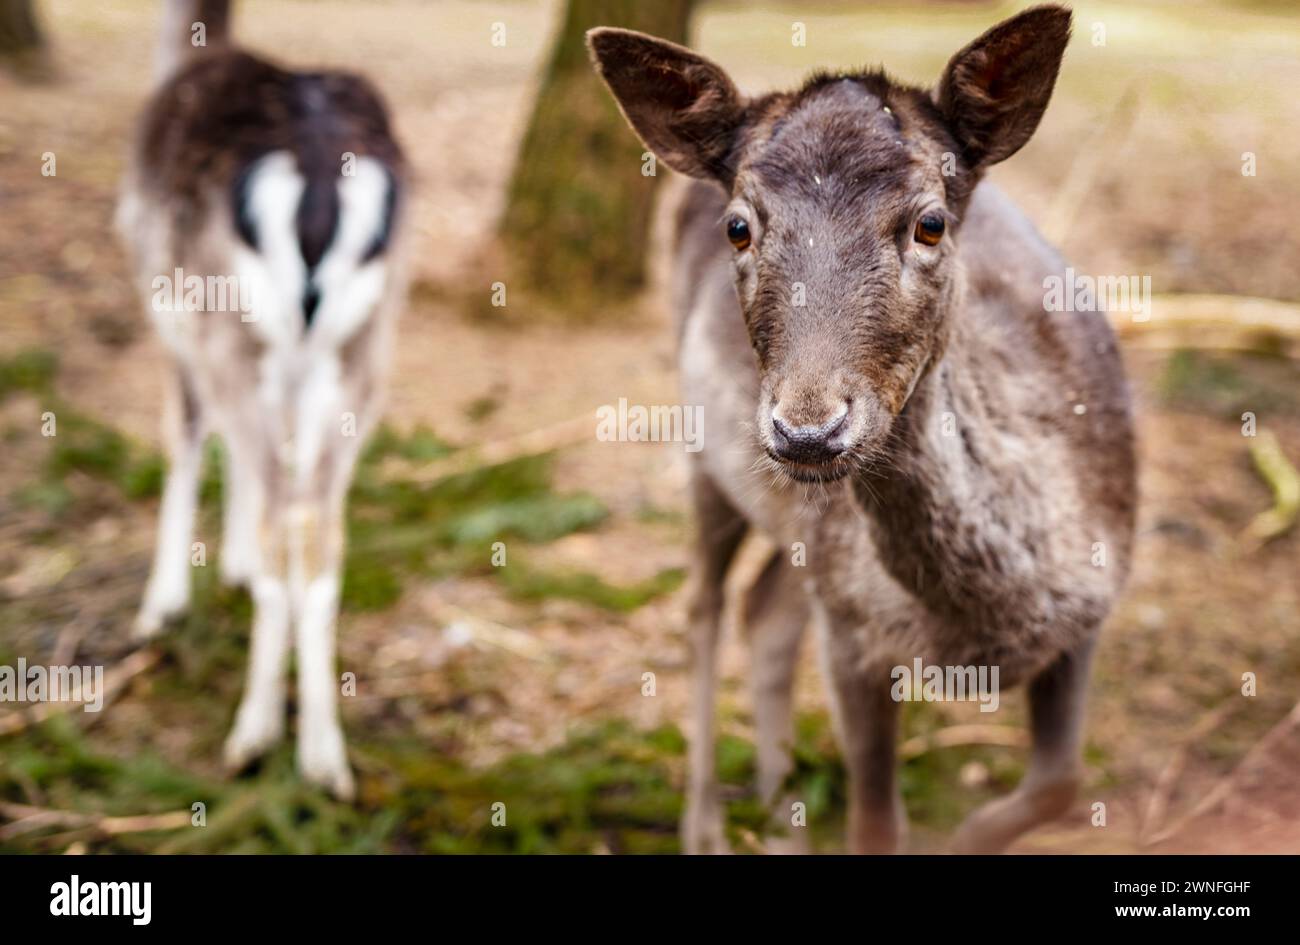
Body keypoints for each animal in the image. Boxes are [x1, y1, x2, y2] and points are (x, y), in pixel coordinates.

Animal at [115, 1, 405, 800]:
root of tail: (320, 177)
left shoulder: (171, 316)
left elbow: (182, 435)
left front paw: (161, 605)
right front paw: (232, 562)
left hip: (229, 329)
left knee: (285, 519)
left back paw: (254, 734)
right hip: (364, 350)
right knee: (322, 531)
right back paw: (326, 759)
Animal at [592, 1, 1138, 857]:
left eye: (931, 222)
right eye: (740, 227)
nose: (808, 429)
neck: (984, 628)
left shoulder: (1089, 606)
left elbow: (1060, 783)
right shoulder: (853, 634)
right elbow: (875, 826)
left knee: (766, 613)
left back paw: (780, 812)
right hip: (705, 454)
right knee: (705, 607)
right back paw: (707, 824)